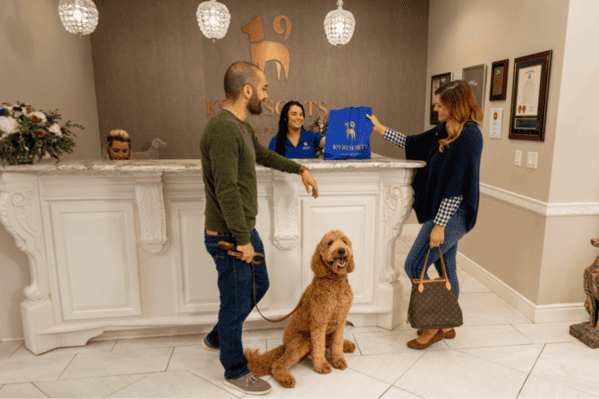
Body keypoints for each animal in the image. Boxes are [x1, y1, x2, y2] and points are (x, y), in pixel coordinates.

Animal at [244, 230, 356, 390]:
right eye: (330, 243)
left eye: (345, 242)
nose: (341, 250)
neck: (335, 283)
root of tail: (285, 345)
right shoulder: (319, 322)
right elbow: (319, 347)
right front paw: (322, 365)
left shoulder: (341, 320)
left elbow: (337, 343)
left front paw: (338, 359)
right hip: (303, 341)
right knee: (278, 364)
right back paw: (285, 378)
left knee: (330, 341)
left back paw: (346, 344)